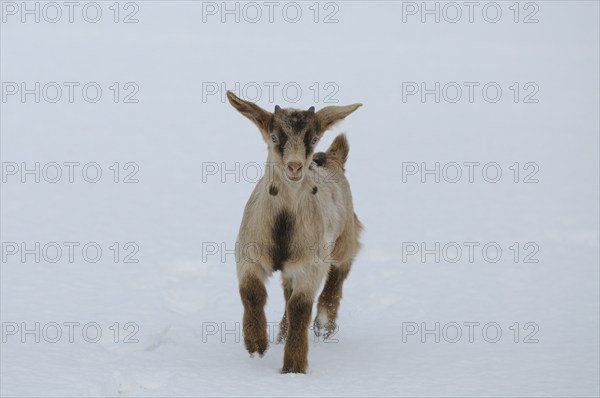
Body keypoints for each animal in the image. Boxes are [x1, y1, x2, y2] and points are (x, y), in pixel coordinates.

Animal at [227, 90, 364, 374]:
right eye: (274, 137)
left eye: (313, 138)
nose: (294, 167)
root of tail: (333, 159)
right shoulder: (248, 251)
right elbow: (252, 292)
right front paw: (256, 344)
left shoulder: (310, 263)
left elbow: (300, 308)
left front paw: (293, 368)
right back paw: (280, 335)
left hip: (344, 236)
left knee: (339, 271)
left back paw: (324, 323)